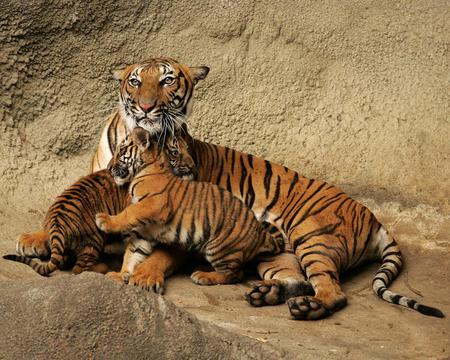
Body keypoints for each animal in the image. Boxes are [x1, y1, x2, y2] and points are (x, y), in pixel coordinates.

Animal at [18, 57, 442, 320]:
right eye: (135, 81)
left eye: (168, 80)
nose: (146, 107)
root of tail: (374, 219)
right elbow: (66, 219)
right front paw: (32, 239)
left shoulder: (176, 221)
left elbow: (156, 251)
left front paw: (143, 277)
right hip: (280, 256)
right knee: (297, 280)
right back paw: (265, 295)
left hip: (314, 237)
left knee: (331, 290)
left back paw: (306, 308)